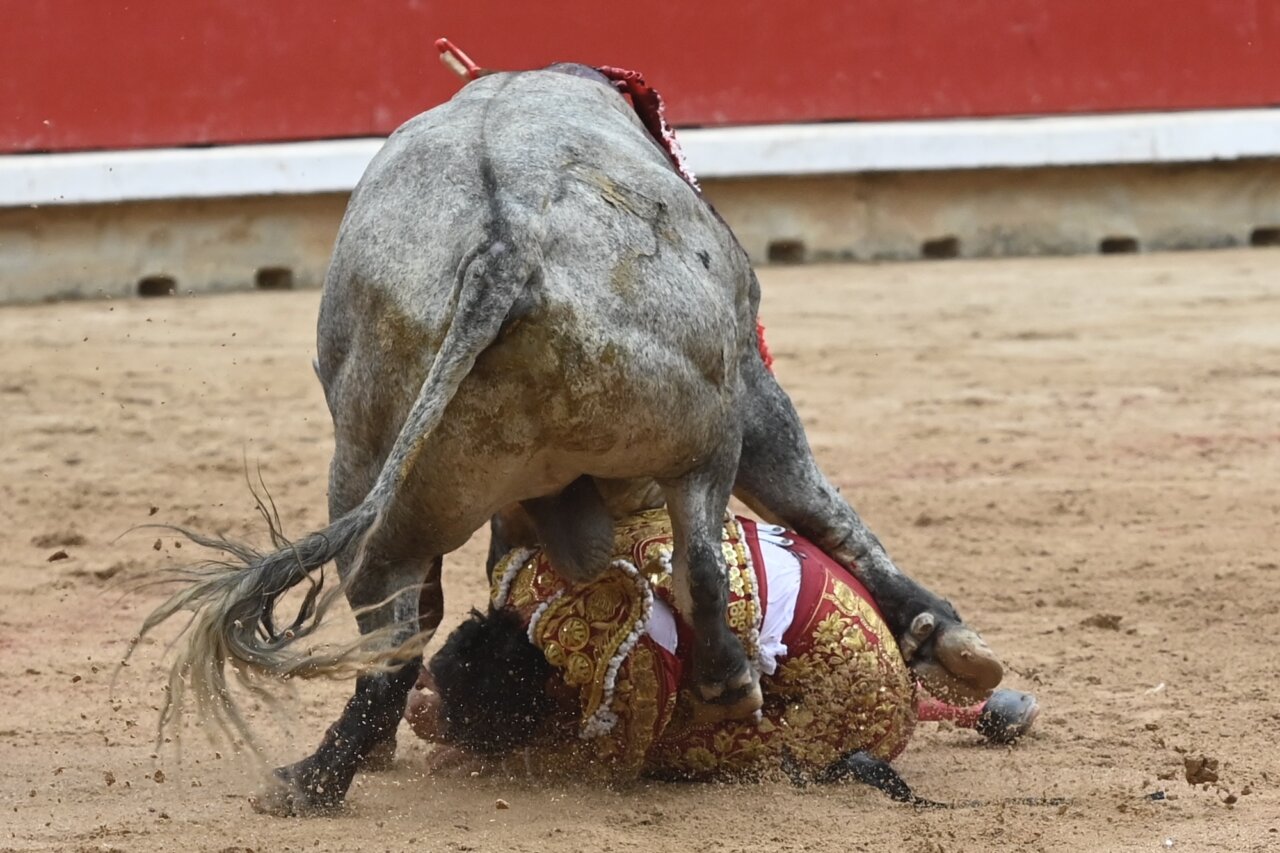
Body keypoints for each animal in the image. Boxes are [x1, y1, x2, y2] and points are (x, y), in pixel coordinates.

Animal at [137, 63, 1002, 816]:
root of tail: (504, 245)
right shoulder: (753, 389)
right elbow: (819, 507)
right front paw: (943, 637)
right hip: (707, 425)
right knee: (701, 556)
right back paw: (728, 676)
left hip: (378, 483)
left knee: (391, 639)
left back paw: (315, 778)